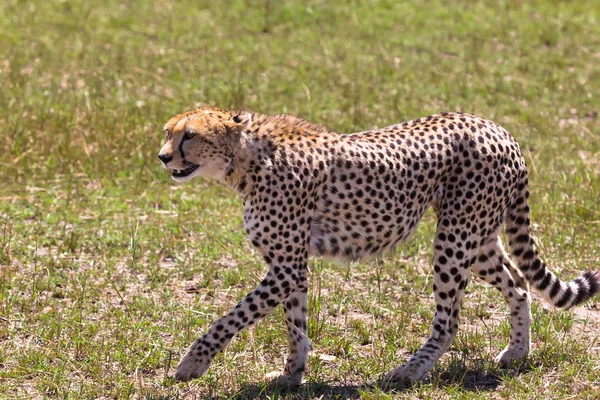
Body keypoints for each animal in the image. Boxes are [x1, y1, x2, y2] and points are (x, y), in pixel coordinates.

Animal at [157, 106, 596, 388]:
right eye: (168, 132)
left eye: (190, 135)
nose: (162, 157)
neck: (247, 161)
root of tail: (497, 128)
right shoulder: (291, 266)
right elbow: (295, 324)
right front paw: (291, 374)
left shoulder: (287, 267)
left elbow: (232, 317)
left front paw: (192, 363)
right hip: (478, 237)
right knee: (519, 285)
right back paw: (516, 352)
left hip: (454, 239)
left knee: (450, 319)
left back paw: (409, 372)